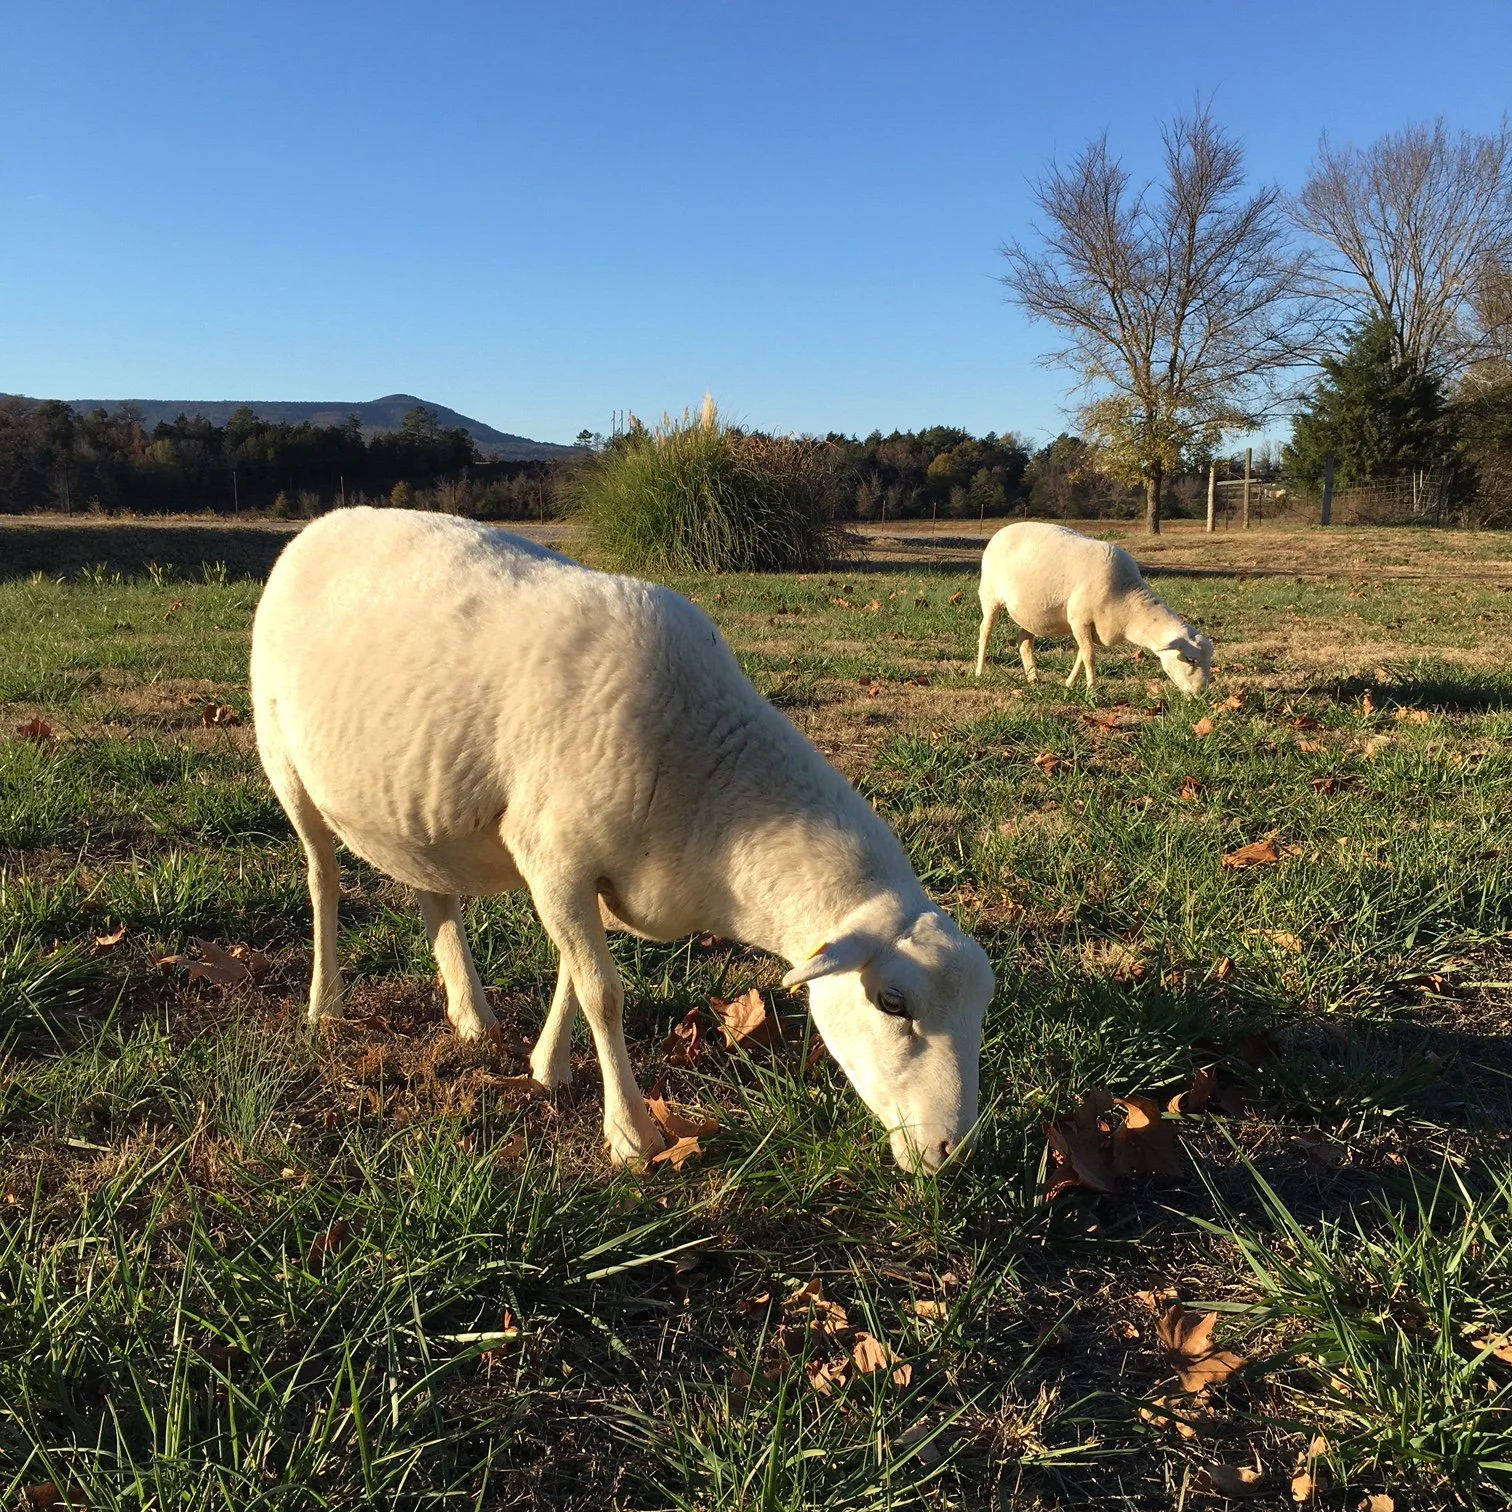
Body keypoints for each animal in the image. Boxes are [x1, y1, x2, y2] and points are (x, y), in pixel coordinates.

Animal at [250, 508, 994, 1173]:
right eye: (892, 1003)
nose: (949, 1153)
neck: (719, 791)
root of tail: (323, 524)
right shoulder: (554, 860)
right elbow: (603, 994)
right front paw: (631, 1135)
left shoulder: (590, 878)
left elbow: (571, 977)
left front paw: (545, 1068)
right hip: (283, 757)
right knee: (322, 880)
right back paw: (325, 1005)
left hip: (420, 810)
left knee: (436, 895)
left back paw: (472, 1016)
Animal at [973, 521, 1213, 694]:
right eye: (1191, 659)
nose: (1200, 693)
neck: (1127, 602)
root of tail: (1002, 530)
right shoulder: (1079, 619)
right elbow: (1089, 656)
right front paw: (1092, 691)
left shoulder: (1089, 626)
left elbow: (1082, 654)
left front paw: (1070, 684)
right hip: (989, 595)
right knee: (985, 632)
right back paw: (979, 672)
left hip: (1031, 612)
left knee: (1024, 641)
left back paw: (1033, 679)